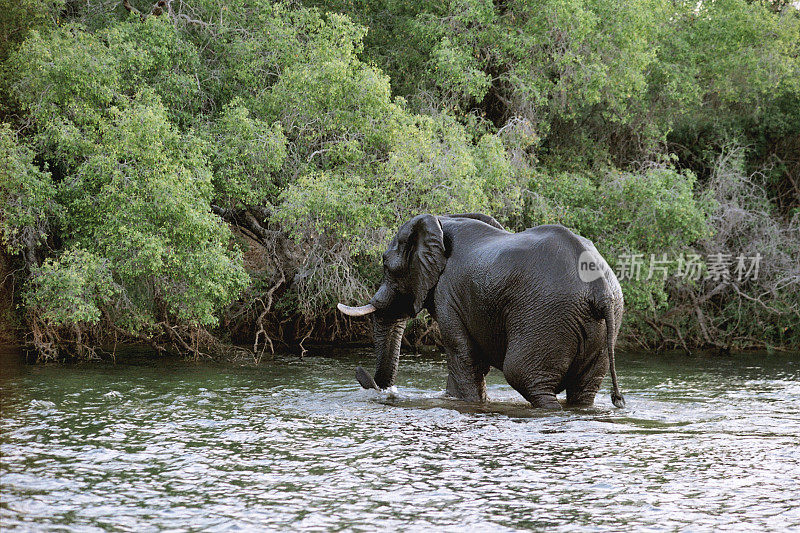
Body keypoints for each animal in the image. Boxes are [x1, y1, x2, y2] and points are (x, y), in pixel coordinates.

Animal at [338, 212, 624, 408]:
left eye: (386, 264)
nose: (359, 372)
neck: (442, 220)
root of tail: (599, 287)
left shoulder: (448, 294)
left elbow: (463, 355)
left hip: (547, 315)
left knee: (524, 376)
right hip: (604, 321)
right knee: (584, 389)